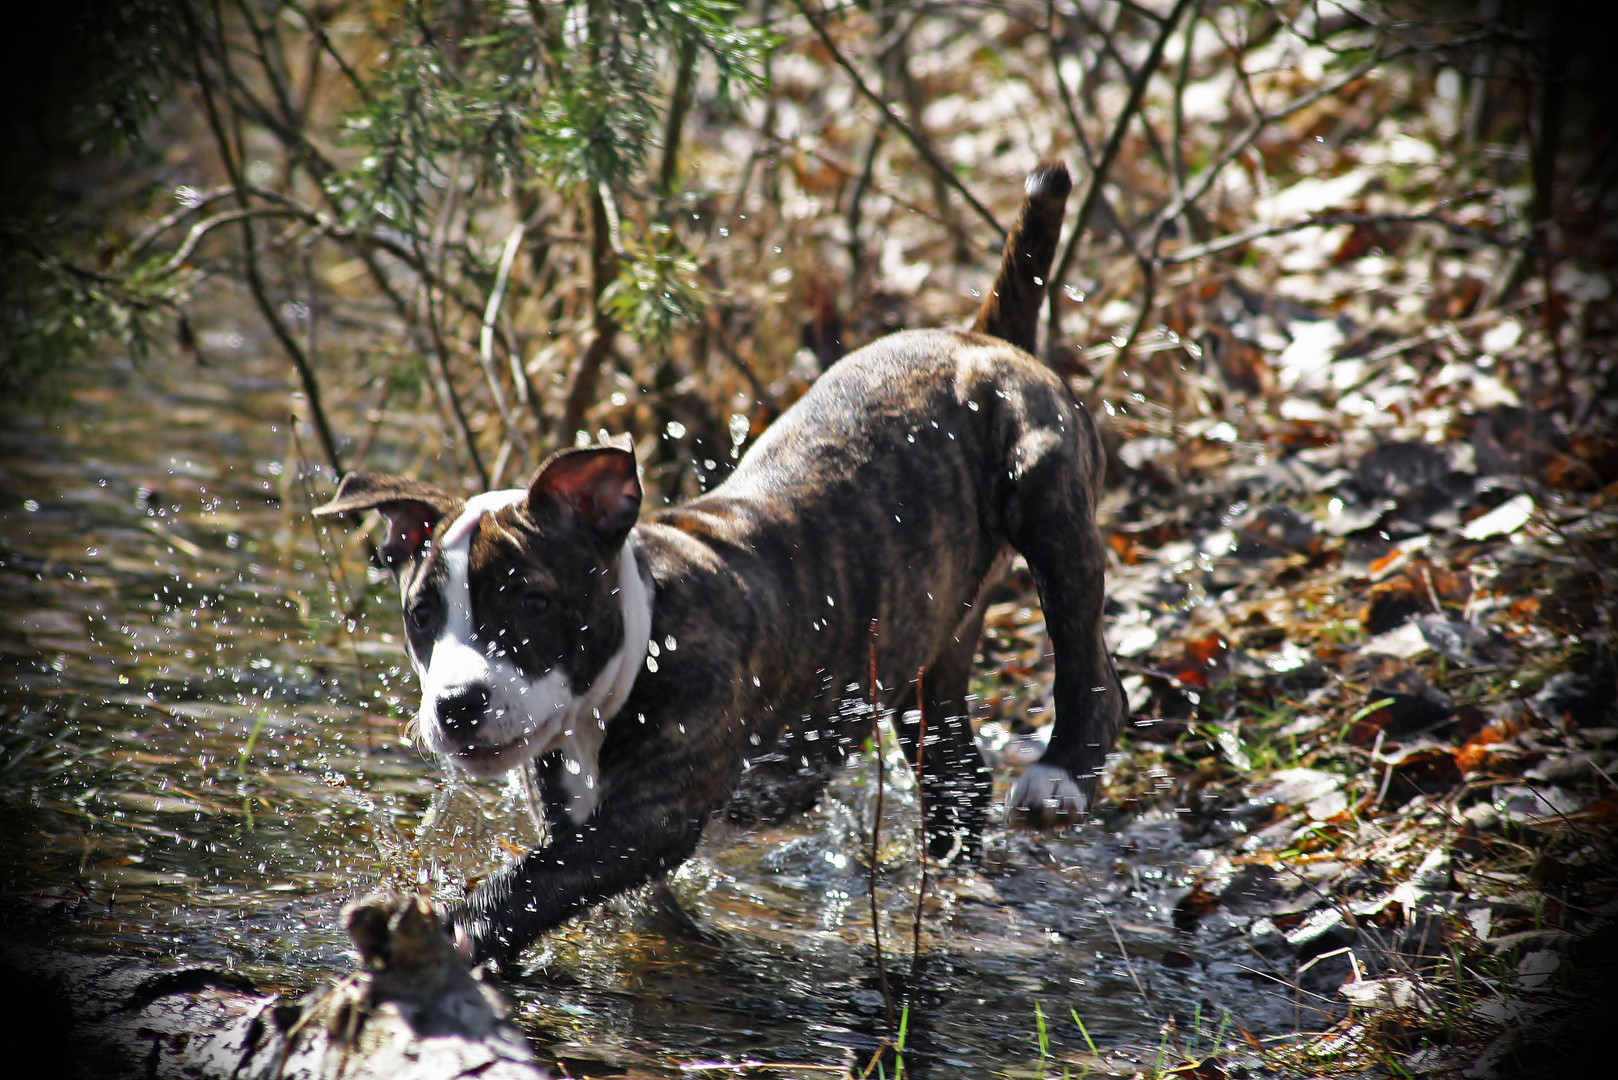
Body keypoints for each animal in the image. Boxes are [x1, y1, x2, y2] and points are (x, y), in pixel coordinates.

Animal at [315, 162, 1126, 971]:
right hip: (932, 633)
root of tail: (982, 337)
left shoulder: (652, 817)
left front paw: (456, 928)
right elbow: (566, 883)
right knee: (955, 767)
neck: (644, 632)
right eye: (421, 617)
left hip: (1045, 489)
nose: (456, 704)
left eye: (533, 604)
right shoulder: (578, 805)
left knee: (1089, 656)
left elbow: (536, 879)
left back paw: (1060, 772)